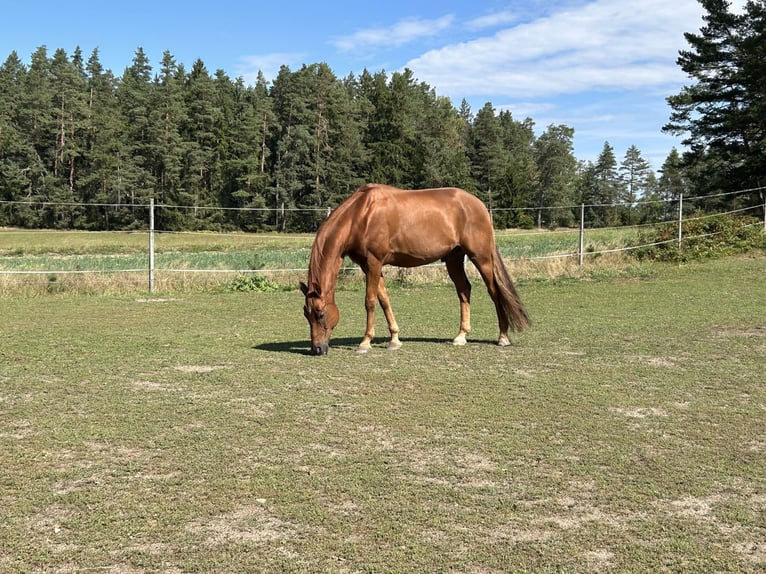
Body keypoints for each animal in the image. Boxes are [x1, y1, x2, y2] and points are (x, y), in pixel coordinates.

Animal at [302, 184, 536, 356]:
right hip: (454, 258)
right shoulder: (370, 266)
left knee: (494, 291)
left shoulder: (374, 263)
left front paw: (365, 342)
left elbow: (370, 301)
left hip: (481, 257)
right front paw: (394, 339)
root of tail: (479, 205)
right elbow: (384, 300)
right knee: (464, 290)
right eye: (306, 314)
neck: (360, 215)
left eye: (321, 314)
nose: (317, 349)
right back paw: (461, 336)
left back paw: (503, 336)